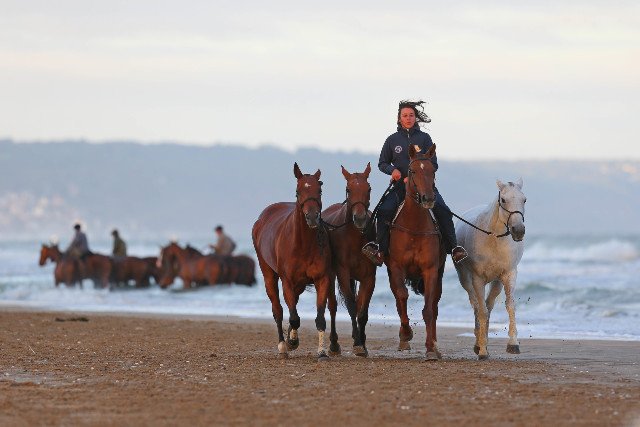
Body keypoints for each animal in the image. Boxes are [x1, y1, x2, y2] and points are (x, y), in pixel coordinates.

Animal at [252, 162, 336, 361]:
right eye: (298, 191)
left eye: (319, 189)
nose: (312, 217)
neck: (303, 244)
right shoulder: (287, 282)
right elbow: (294, 317)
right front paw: (291, 342)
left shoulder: (322, 279)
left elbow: (320, 318)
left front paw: (321, 352)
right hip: (269, 275)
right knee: (278, 310)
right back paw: (283, 345)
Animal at [322, 162, 376, 357]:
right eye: (348, 189)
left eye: (368, 188)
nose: (359, 219)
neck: (354, 237)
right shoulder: (343, 273)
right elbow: (352, 306)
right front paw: (358, 343)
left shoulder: (369, 276)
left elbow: (362, 310)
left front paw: (362, 342)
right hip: (331, 275)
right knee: (332, 306)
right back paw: (334, 344)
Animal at [385, 144, 446, 361]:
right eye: (412, 171)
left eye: (432, 170)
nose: (428, 198)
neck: (414, 227)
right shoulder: (396, 267)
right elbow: (402, 296)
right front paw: (406, 334)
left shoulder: (431, 270)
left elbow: (428, 310)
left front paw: (430, 348)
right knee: (397, 298)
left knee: (434, 306)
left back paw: (435, 345)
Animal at [454, 179, 526, 360]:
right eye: (503, 200)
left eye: (524, 199)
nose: (518, 230)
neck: (494, 239)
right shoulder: (477, 279)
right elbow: (481, 311)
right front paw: (482, 351)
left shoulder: (509, 274)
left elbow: (510, 306)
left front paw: (513, 344)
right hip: (466, 279)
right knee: (476, 305)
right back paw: (478, 343)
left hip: (496, 282)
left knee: (488, 305)